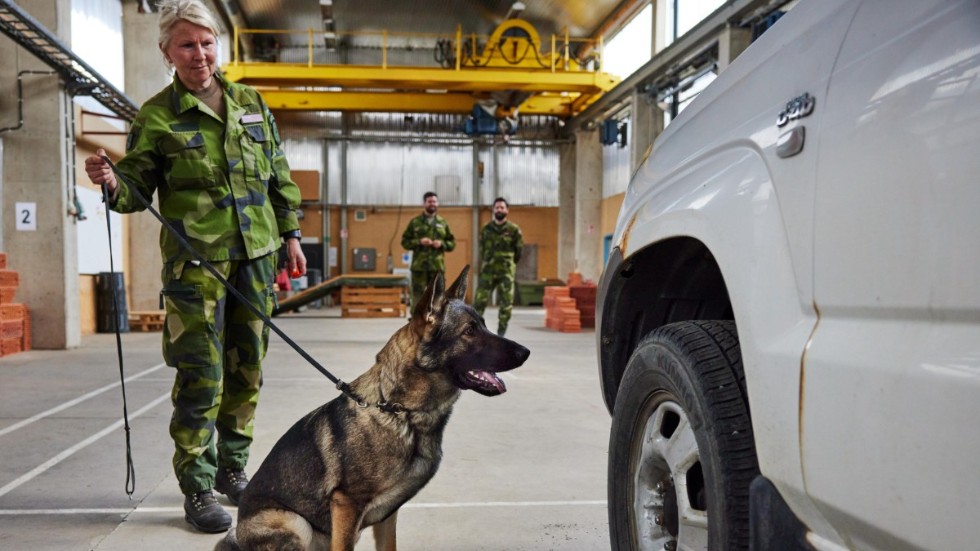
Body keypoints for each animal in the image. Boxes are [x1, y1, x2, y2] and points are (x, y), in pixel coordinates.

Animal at [217, 266, 528, 548]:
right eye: (469, 331)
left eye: (483, 325)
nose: (526, 352)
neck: (401, 411)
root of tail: (238, 537)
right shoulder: (347, 504)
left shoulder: (388, 515)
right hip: (295, 523)